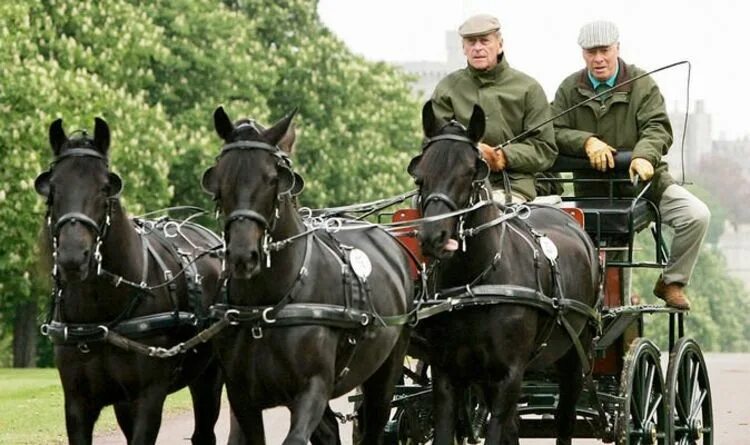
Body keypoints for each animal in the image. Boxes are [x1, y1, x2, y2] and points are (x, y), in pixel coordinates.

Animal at [33, 118, 226, 444]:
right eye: (53, 188)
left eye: (104, 187)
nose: (73, 257)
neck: (101, 316)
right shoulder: (78, 402)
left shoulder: (148, 397)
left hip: (209, 376)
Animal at [203, 107, 414, 444]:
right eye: (218, 178)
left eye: (273, 179)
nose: (242, 256)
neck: (267, 306)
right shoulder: (241, 397)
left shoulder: (312, 388)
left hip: (386, 370)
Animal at [408, 102, 604, 444]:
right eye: (420, 175)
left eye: (471, 172)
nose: (433, 236)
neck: (474, 285)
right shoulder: (447, 373)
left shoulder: (509, 375)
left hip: (575, 355)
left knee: (565, 416)